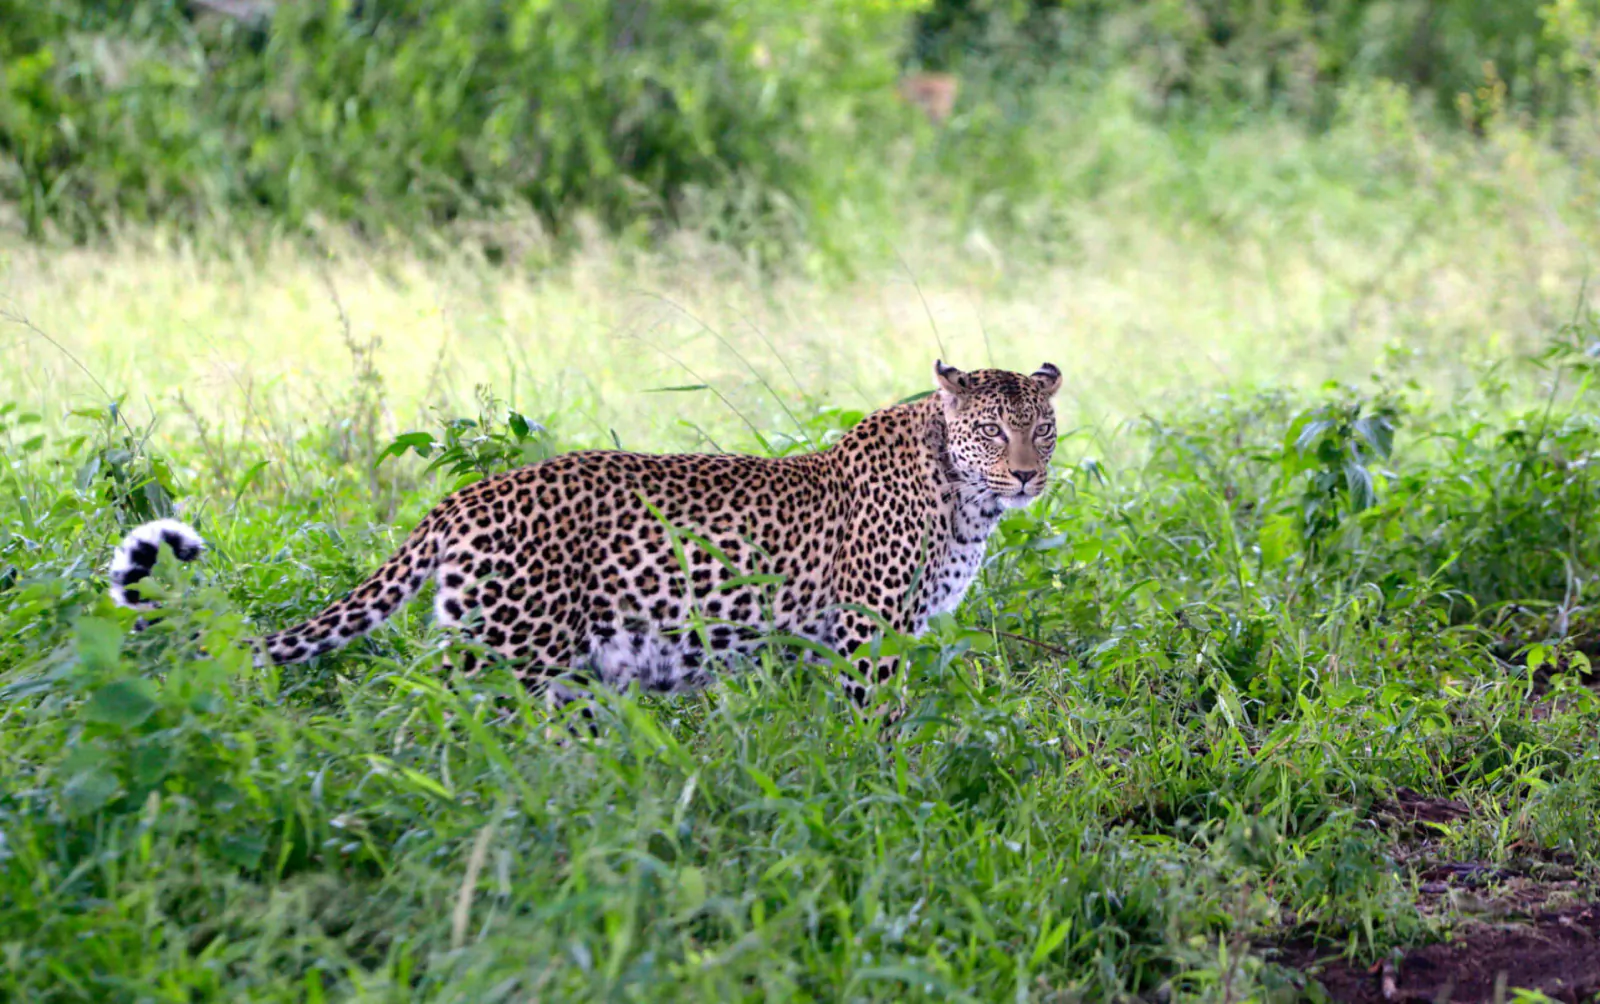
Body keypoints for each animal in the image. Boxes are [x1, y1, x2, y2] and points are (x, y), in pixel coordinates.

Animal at [110, 360, 1061, 716]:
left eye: (1042, 429)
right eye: (990, 429)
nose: (1026, 476)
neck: (963, 499)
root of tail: (461, 498)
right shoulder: (871, 630)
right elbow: (878, 717)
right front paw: (883, 779)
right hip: (510, 649)